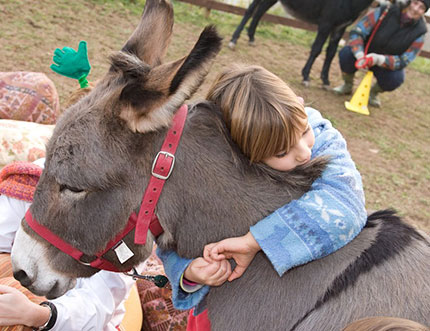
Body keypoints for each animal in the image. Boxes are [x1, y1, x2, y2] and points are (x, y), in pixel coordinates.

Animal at [230, 0, 378, 87]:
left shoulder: (339, 28)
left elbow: (331, 53)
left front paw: (325, 80)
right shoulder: (326, 22)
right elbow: (317, 49)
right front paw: (306, 76)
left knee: (260, 12)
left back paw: (251, 37)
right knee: (251, 10)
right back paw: (234, 40)